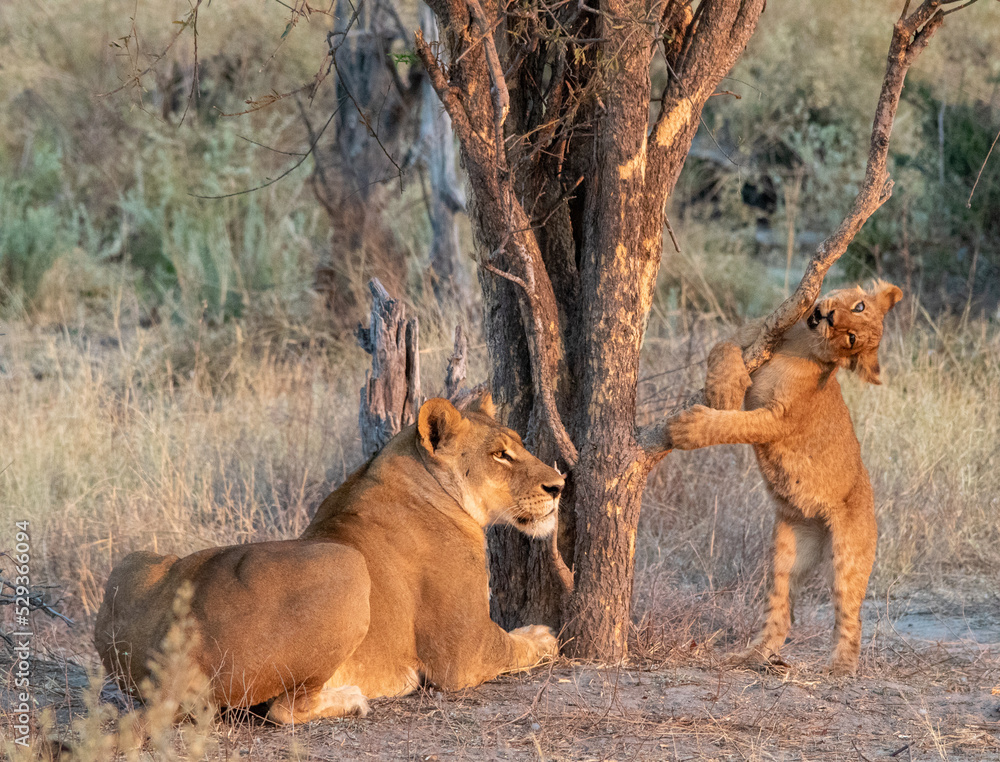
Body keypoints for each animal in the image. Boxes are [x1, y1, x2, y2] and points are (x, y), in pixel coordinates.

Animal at [95, 396, 564, 724]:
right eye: (500, 454)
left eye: (520, 445)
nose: (559, 485)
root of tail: (176, 663)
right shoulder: (463, 652)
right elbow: (514, 644)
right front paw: (544, 636)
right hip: (348, 566)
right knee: (284, 710)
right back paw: (354, 698)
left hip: (134, 561)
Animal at [669, 280, 903, 675]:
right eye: (857, 307)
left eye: (851, 338)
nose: (831, 317)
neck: (801, 342)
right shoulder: (753, 333)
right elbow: (721, 348)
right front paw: (724, 389)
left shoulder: (778, 419)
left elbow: (733, 425)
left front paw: (688, 428)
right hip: (786, 552)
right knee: (780, 614)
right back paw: (749, 657)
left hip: (848, 555)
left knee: (851, 616)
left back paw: (840, 668)